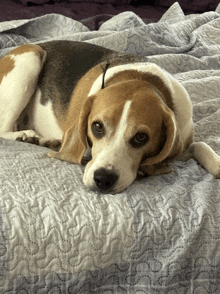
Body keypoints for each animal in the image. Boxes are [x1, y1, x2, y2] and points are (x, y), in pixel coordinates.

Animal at [0, 40, 220, 193]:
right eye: (97, 127)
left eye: (141, 137)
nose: (103, 179)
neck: (139, 76)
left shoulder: (180, 139)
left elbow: (200, 145)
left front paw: (217, 163)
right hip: (30, 59)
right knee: (4, 128)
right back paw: (27, 136)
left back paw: (45, 140)